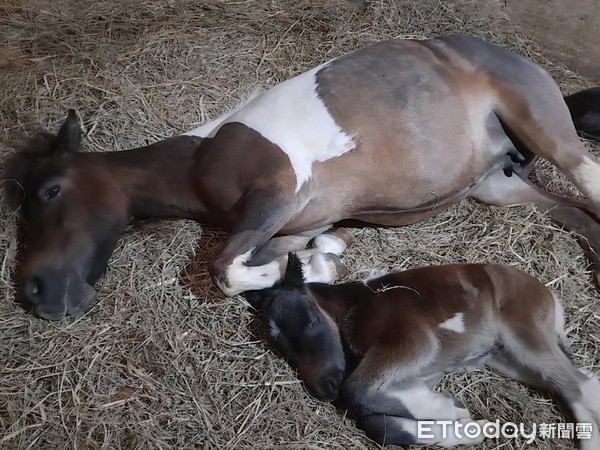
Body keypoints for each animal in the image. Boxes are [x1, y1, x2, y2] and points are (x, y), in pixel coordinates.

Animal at [1, 35, 600, 320]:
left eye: (51, 191)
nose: (36, 290)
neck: (201, 158)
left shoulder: (276, 195)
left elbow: (224, 270)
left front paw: (312, 267)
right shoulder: (288, 224)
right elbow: (269, 260)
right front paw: (318, 262)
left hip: (549, 131)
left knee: (590, 183)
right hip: (498, 186)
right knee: (582, 216)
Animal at [245, 251, 600, 448]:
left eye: (310, 321)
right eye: (280, 346)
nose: (323, 387)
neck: (356, 305)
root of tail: (548, 293)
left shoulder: (412, 343)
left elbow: (356, 391)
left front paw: (450, 411)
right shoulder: (419, 373)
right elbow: (377, 423)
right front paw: (470, 426)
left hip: (524, 333)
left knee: (576, 384)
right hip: (508, 358)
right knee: (573, 383)